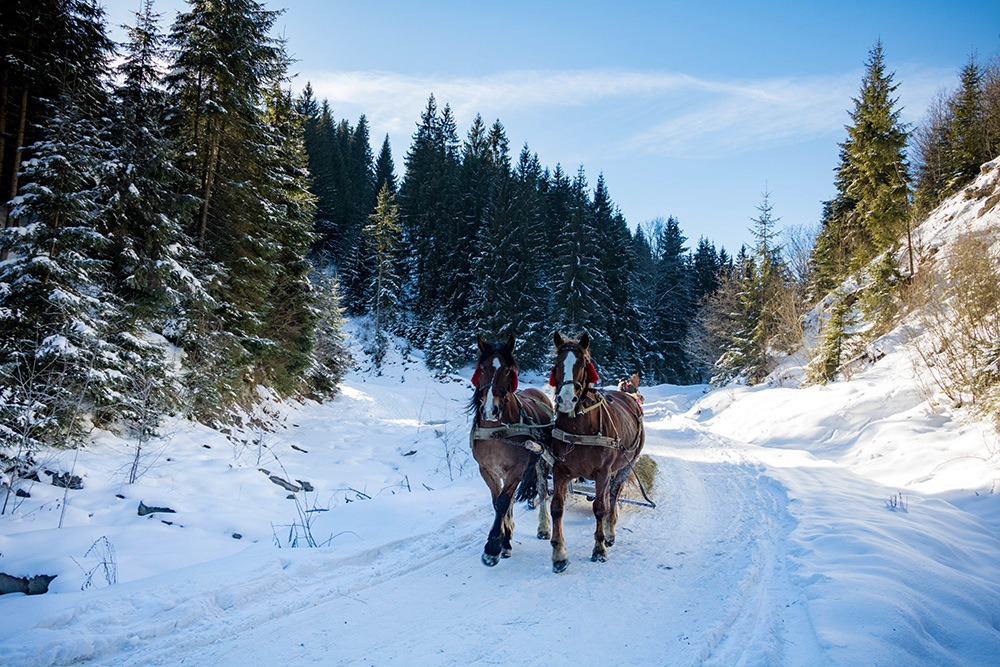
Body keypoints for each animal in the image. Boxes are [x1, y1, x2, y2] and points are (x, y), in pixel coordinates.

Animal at [468, 336, 556, 568]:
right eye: (482, 368)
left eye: (508, 370)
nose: (490, 409)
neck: (496, 431)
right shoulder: (488, 470)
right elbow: (499, 502)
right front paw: (505, 542)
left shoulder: (516, 470)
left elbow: (502, 502)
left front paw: (492, 548)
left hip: (542, 461)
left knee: (542, 490)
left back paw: (544, 528)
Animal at [552, 332, 644, 572]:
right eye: (557, 363)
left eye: (582, 364)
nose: (566, 400)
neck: (580, 427)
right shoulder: (560, 470)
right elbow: (557, 508)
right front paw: (559, 555)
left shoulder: (603, 472)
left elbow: (600, 507)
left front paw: (599, 548)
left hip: (626, 466)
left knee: (614, 494)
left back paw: (610, 533)